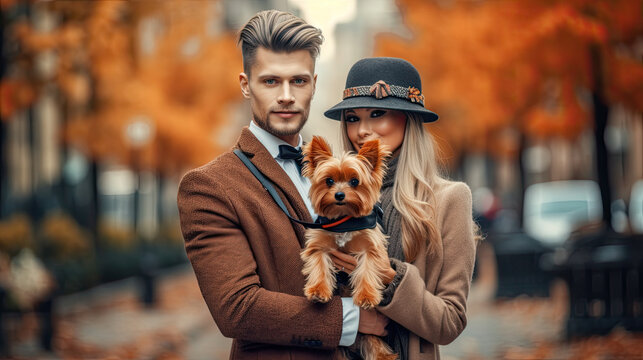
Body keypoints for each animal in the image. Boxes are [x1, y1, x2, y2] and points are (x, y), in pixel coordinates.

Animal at [302, 136, 398, 360]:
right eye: (328, 181)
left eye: (354, 181)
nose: (339, 195)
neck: (344, 220)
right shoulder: (319, 244)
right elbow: (319, 267)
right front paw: (318, 291)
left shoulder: (371, 246)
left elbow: (367, 271)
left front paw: (367, 297)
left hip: (373, 339)